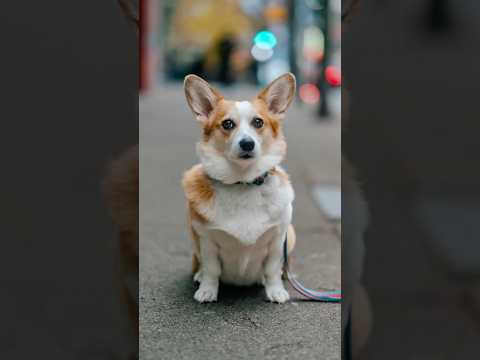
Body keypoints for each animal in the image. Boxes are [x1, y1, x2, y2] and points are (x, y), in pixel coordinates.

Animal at [183, 73, 296, 304]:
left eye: (258, 122)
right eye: (227, 124)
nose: (247, 144)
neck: (242, 183)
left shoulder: (277, 238)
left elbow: (272, 269)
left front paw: (276, 291)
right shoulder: (207, 240)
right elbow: (211, 270)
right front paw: (207, 291)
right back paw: (199, 276)